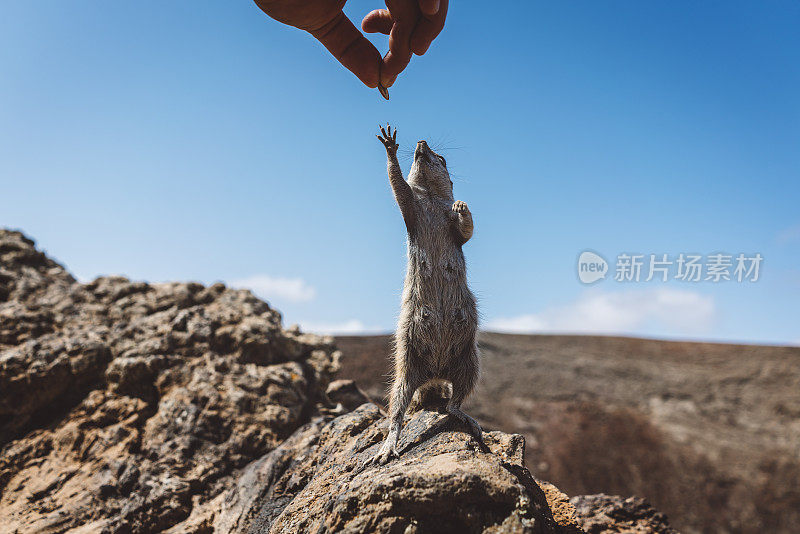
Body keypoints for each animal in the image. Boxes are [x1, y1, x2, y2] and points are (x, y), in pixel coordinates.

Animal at [370, 124, 478, 464]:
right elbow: (397, 185)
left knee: (454, 401)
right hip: (406, 364)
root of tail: (435, 373)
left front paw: (462, 207)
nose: (421, 142)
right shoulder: (410, 206)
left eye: (441, 158)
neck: (430, 198)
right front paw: (390, 147)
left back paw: (464, 415)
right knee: (397, 410)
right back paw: (388, 445)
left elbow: (466, 231)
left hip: (470, 362)